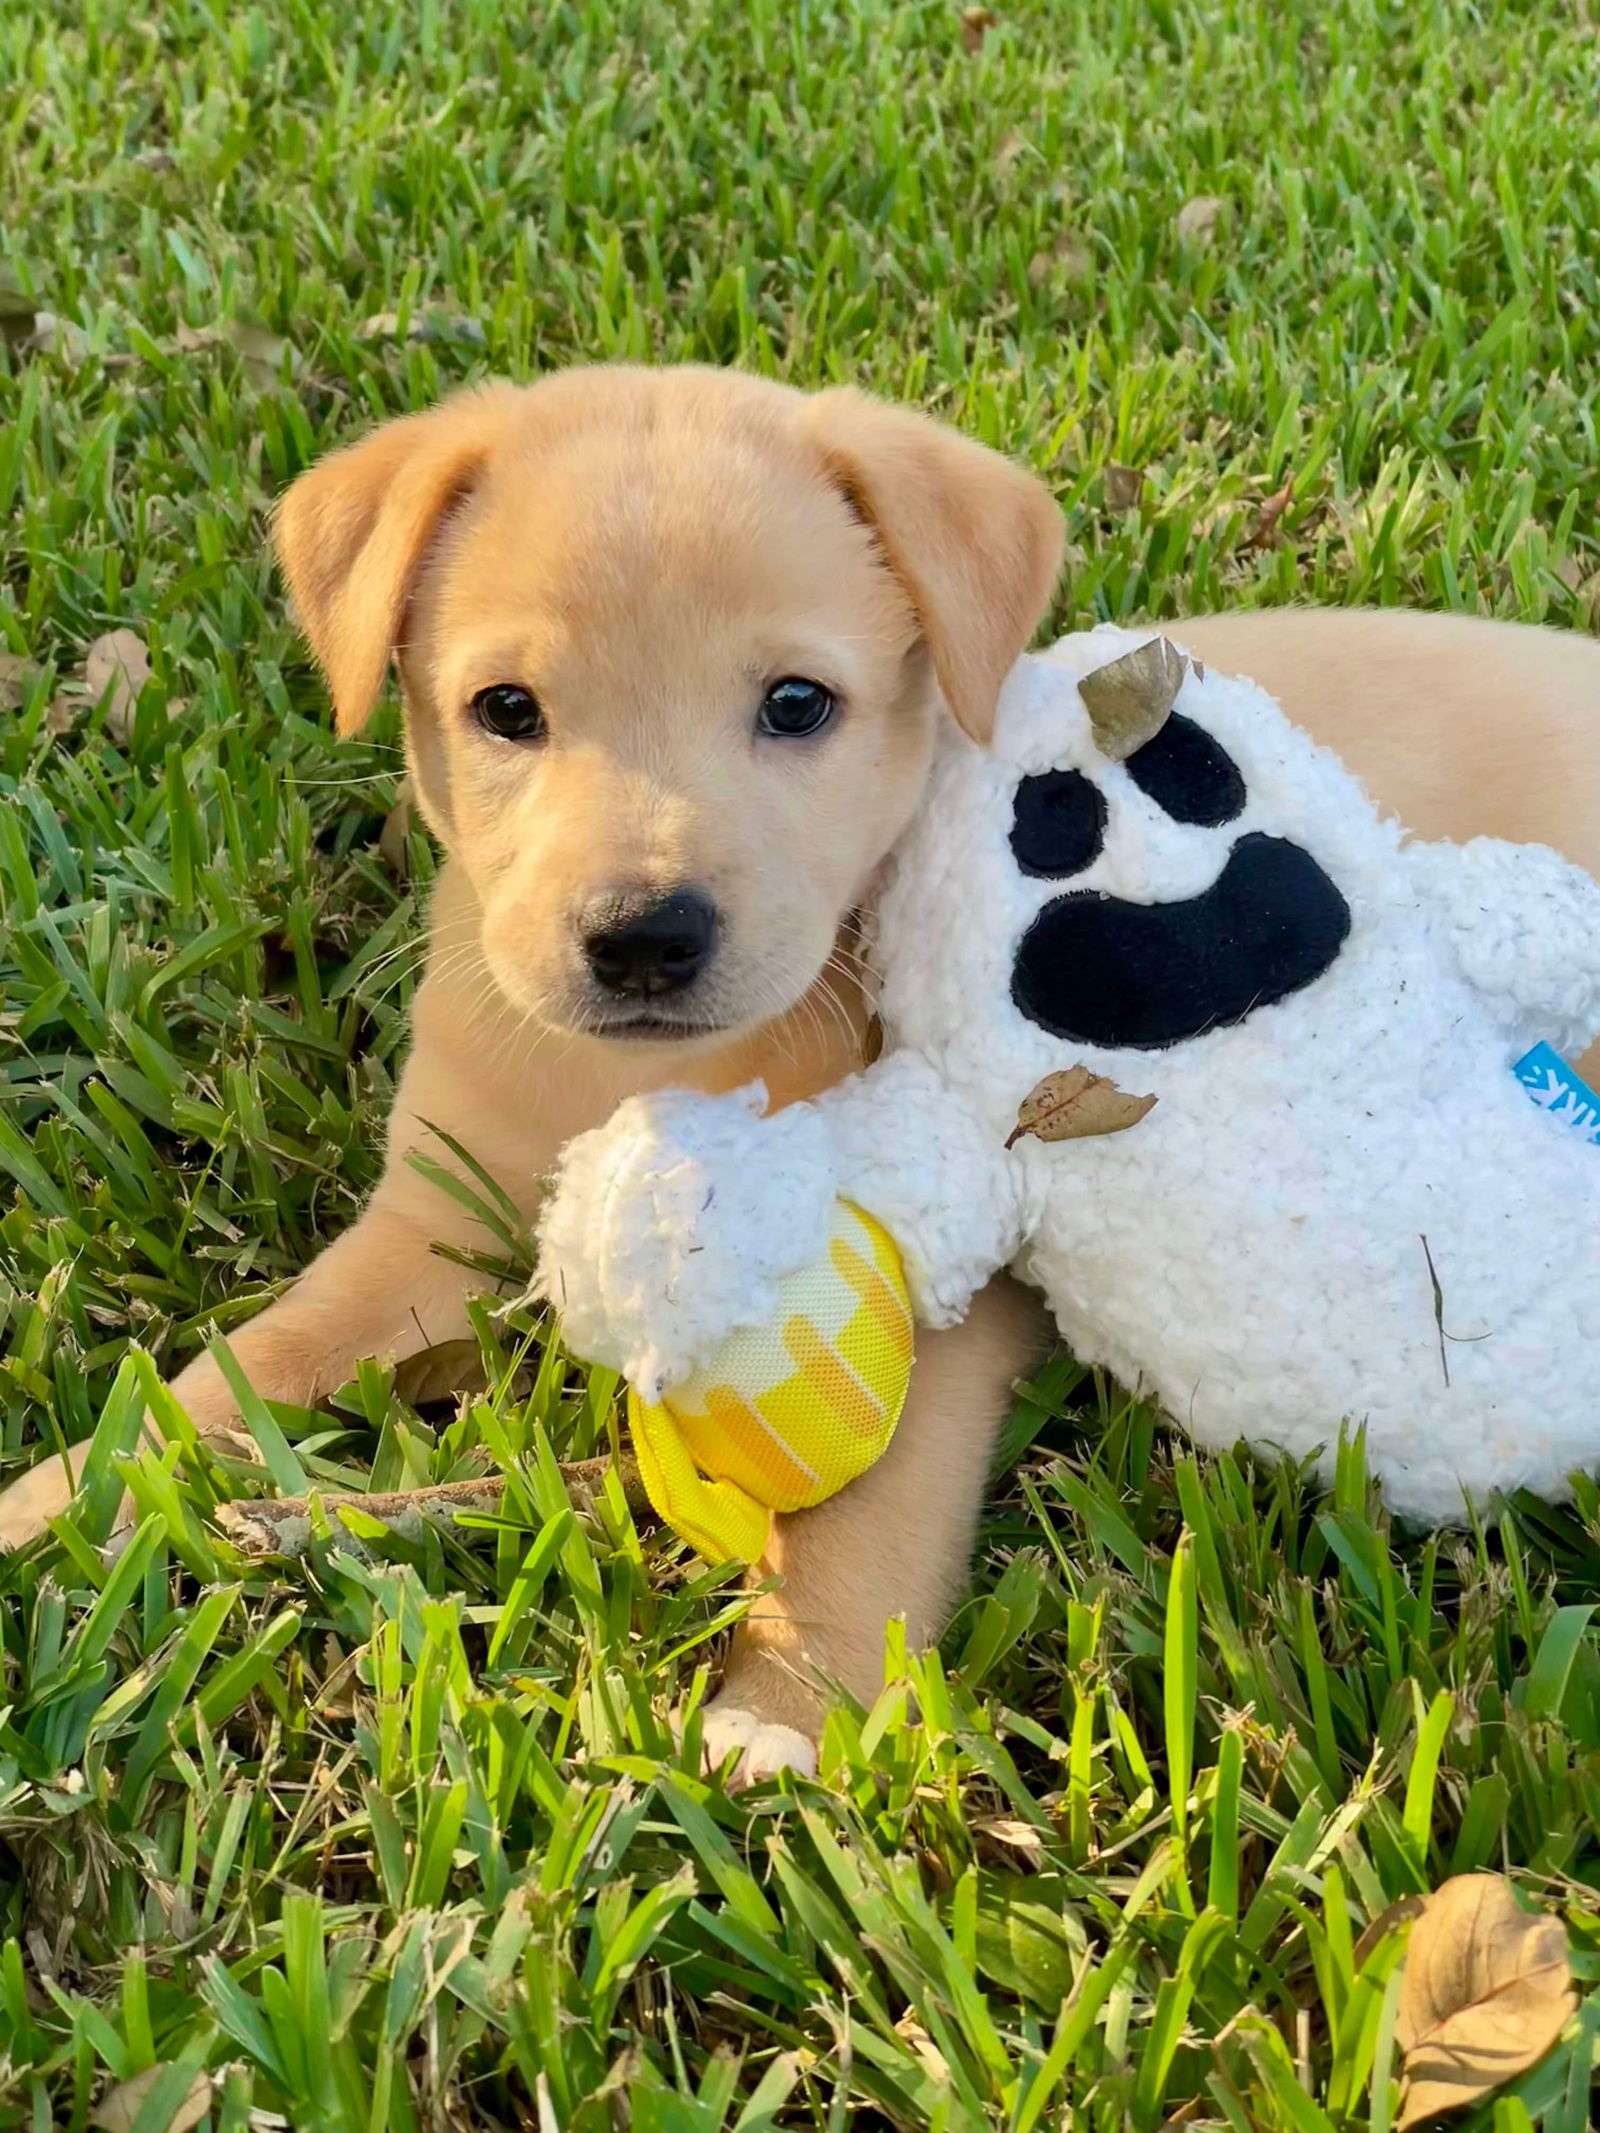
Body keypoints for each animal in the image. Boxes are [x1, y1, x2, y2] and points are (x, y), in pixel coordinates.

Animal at [3, 366, 1600, 1783]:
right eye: (506, 710)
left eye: (795, 704)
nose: (644, 937)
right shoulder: (434, 1225)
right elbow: (232, 1376)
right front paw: (55, 1499)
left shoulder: (943, 1280)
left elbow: (868, 1504)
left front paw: (788, 1700)